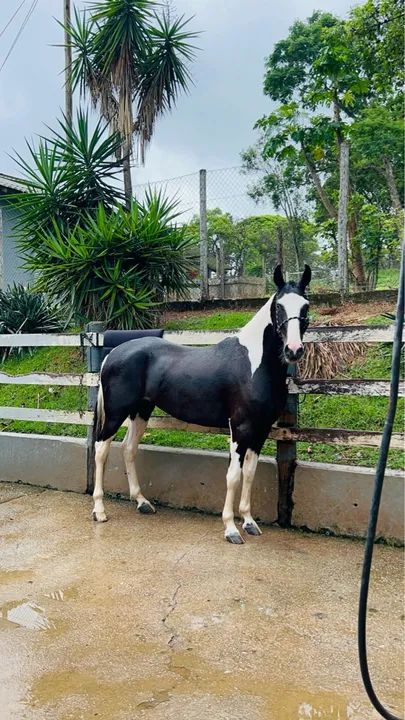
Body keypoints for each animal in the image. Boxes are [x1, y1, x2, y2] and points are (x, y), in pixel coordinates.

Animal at [91, 264, 311, 544]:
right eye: (279, 306)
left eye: (305, 306)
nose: (294, 350)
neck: (253, 365)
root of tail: (112, 354)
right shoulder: (240, 428)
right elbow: (233, 476)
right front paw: (231, 529)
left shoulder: (260, 430)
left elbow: (249, 473)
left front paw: (249, 522)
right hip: (115, 413)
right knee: (101, 450)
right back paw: (99, 510)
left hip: (141, 410)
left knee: (129, 448)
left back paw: (142, 502)